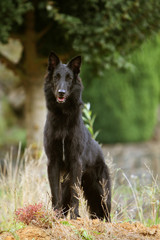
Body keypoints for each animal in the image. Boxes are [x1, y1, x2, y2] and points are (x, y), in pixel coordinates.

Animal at [43, 51, 111, 220]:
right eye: (56, 77)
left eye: (69, 78)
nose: (61, 93)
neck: (62, 119)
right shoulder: (53, 162)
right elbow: (55, 193)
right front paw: (55, 215)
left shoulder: (75, 162)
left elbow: (75, 193)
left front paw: (74, 216)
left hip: (102, 195)